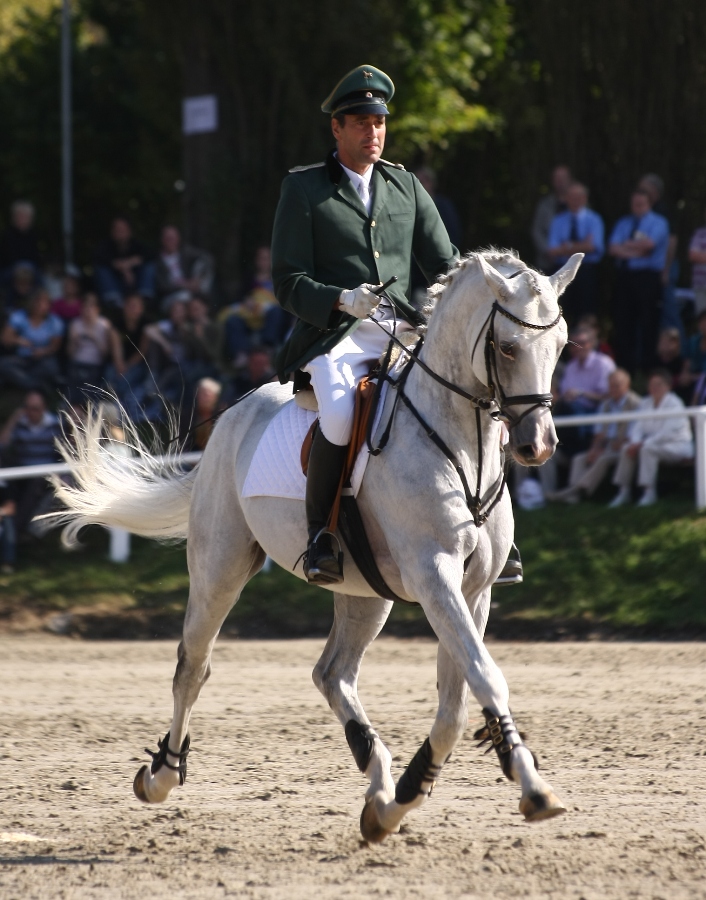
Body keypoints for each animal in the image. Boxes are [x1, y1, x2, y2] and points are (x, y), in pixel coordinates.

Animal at [52, 248, 580, 844]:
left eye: (561, 345)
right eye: (508, 347)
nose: (539, 446)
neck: (460, 443)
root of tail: (233, 416)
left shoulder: (474, 589)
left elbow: (457, 702)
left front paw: (405, 797)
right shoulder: (434, 576)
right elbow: (485, 677)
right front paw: (532, 790)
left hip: (364, 592)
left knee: (332, 673)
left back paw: (378, 781)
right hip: (219, 569)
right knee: (194, 666)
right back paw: (161, 774)